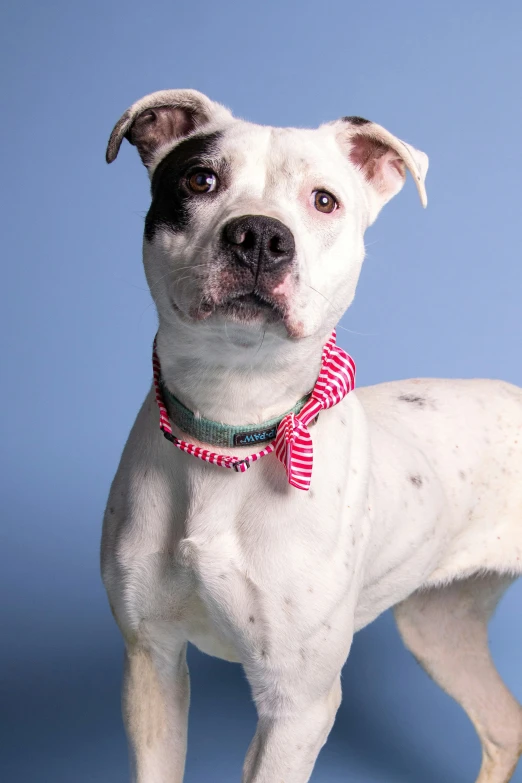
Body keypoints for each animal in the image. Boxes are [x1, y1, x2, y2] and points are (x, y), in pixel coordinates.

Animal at [100, 89, 520, 780]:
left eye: (325, 200)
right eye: (200, 179)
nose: (259, 235)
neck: (233, 425)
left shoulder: (297, 704)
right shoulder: (150, 661)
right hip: (439, 626)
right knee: (503, 723)